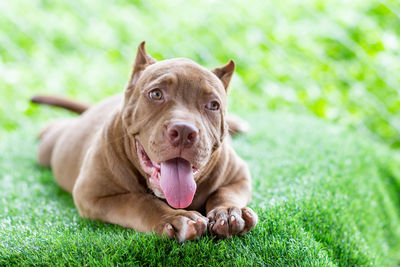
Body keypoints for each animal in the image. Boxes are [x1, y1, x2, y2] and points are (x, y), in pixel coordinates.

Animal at [31, 42, 258, 243]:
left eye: (213, 105)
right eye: (156, 93)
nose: (184, 131)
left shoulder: (239, 176)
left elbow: (224, 192)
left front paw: (228, 212)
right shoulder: (92, 195)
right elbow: (138, 201)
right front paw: (177, 218)